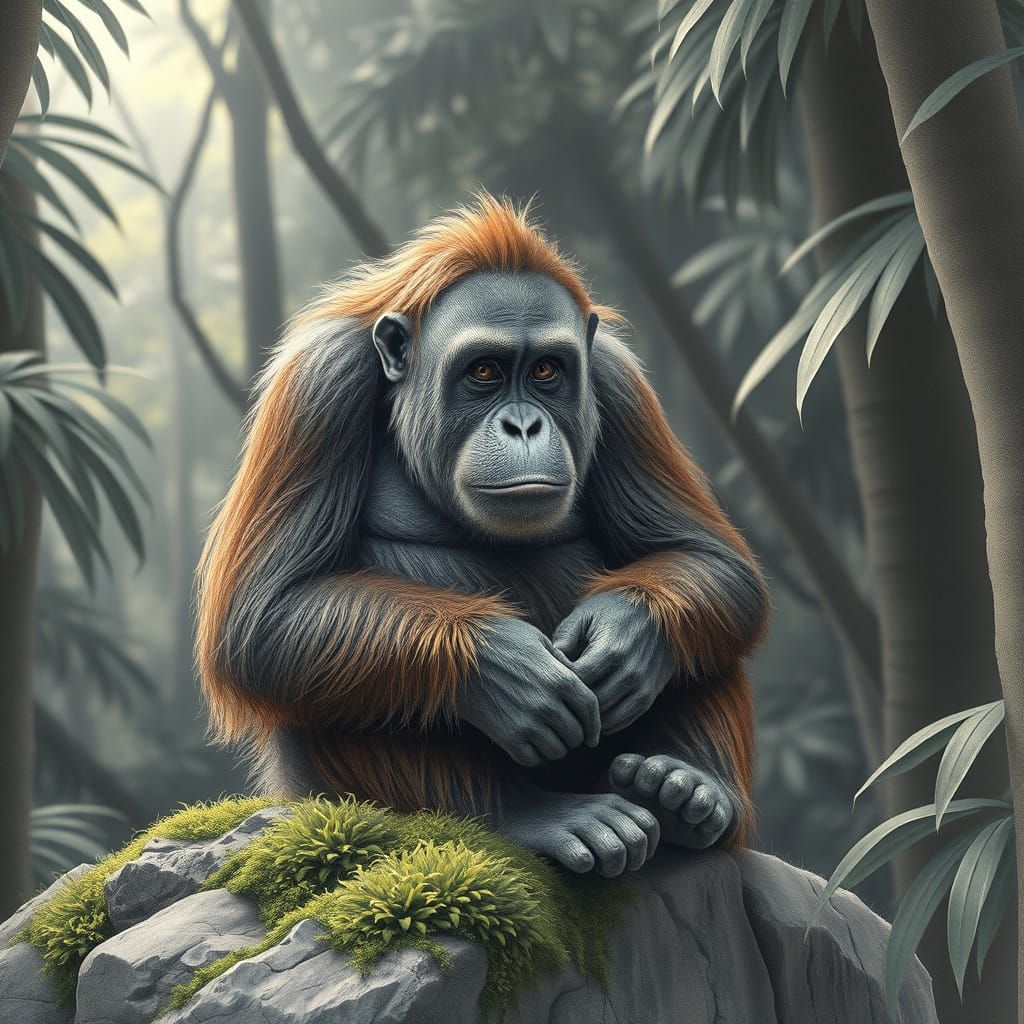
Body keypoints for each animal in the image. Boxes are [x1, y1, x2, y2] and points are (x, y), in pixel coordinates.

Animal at [196, 193, 768, 878]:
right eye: (486, 372)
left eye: (546, 370)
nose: (522, 425)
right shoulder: (317, 387)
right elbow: (263, 617)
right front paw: (506, 666)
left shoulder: (620, 383)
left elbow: (707, 559)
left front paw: (623, 634)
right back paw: (526, 817)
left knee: (700, 630)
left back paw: (688, 793)